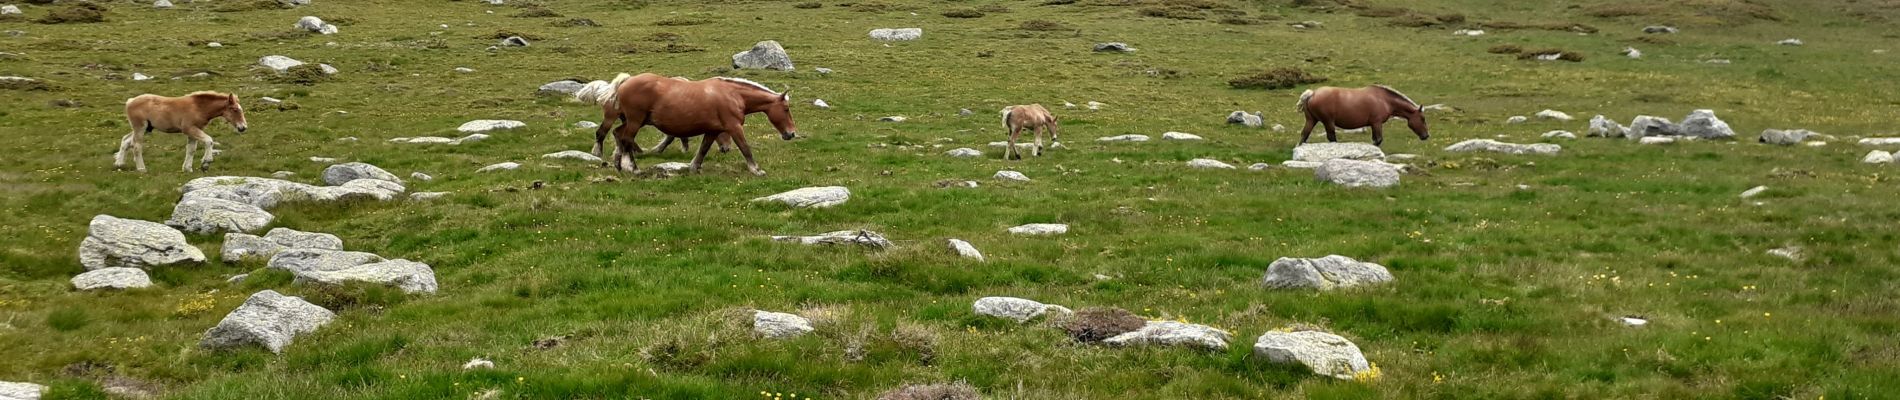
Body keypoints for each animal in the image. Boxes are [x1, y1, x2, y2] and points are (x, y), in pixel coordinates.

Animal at [114, 91, 247, 172]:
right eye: (235, 109)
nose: (243, 127)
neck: (198, 107)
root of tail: (130, 101)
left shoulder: (194, 131)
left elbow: (191, 149)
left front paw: (187, 168)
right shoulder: (189, 129)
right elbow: (209, 140)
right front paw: (206, 162)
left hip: (146, 128)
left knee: (126, 140)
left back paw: (119, 163)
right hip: (140, 127)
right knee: (136, 146)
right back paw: (142, 169)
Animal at [573, 72, 790, 175]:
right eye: (787, 109)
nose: (791, 133)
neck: (733, 94)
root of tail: (625, 82)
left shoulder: (713, 130)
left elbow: (702, 149)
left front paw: (694, 167)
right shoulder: (734, 127)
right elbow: (746, 148)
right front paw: (756, 170)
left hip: (632, 121)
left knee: (618, 135)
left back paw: (619, 164)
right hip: (635, 121)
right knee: (623, 138)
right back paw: (632, 167)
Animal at [1299, 85, 1428, 145]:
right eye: (1423, 119)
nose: (1426, 136)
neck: (1384, 99)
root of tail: (1312, 93)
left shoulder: (1373, 125)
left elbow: (1375, 140)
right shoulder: (1377, 123)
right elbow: (1378, 140)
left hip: (1311, 120)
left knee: (1304, 135)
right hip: (1328, 122)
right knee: (1331, 138)